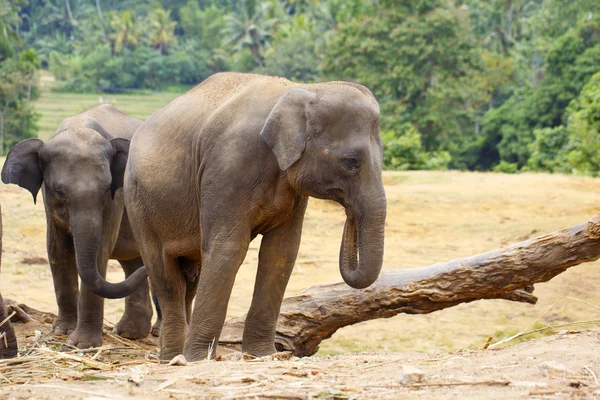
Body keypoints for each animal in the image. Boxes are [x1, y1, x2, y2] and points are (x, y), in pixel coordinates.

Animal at [0, 104, 158, 348]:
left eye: (106, 190)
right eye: (59, 191)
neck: (79, 125)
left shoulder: (116, 198)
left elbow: (100, 251)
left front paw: (81, 345)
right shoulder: (48, 202)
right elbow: (57, 250)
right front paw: (61, 331)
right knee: (133, 263)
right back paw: (129, 333)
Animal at [125, 72, 390, 362]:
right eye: (350, 161)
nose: (350, 212)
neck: (304, 90)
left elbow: (281, 252)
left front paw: (262, 355)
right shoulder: (229, 165)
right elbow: (228, 248)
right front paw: (200, 359)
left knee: (189, 278)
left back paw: (174, 356)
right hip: (139, 205)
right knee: (166, 277)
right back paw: (175, 358)